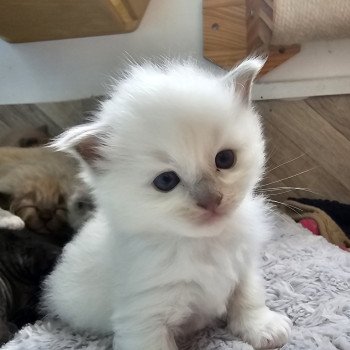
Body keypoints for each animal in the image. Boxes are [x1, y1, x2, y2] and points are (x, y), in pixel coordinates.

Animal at [42, 58, 292, 348]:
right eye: (165, 181)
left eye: (225, 159)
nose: (212, 200)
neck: (203, 244)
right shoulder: (144, 317)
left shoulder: (244, 262)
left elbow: (249, 293)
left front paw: (262, 326)